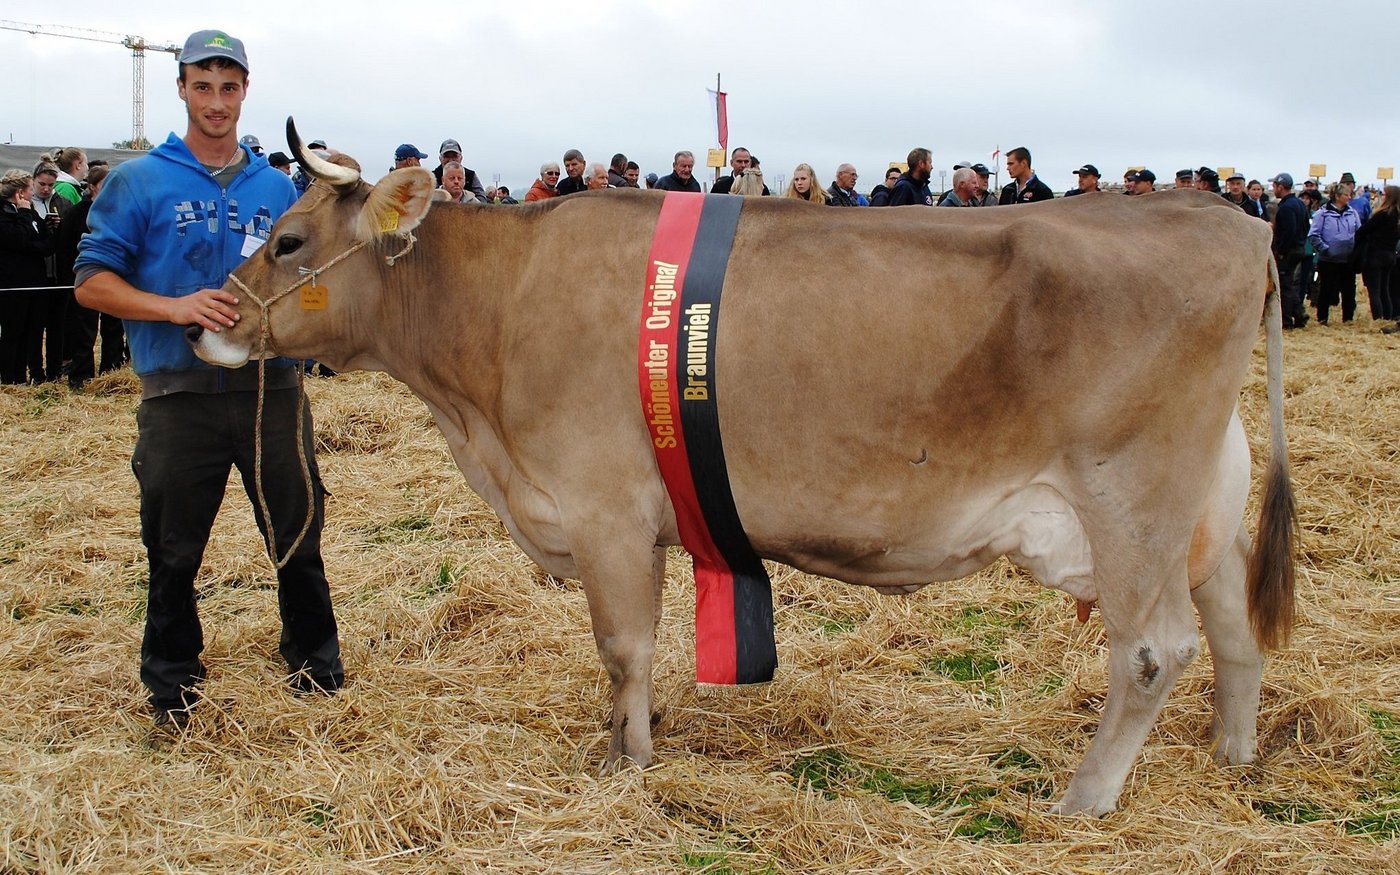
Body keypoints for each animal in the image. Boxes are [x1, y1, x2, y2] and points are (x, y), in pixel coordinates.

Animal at [190, 121, 1295, 816]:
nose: (210, 322)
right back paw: (1232, 754)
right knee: (1234, 628)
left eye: (288, 239)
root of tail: (1233, 220)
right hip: (1198, 496)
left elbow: (622, 644)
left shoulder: (599, 505)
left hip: (1128, 495)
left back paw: (1085, 796)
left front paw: (628, 761)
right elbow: (636, 649)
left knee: (1152, 649)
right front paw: (631, 736)